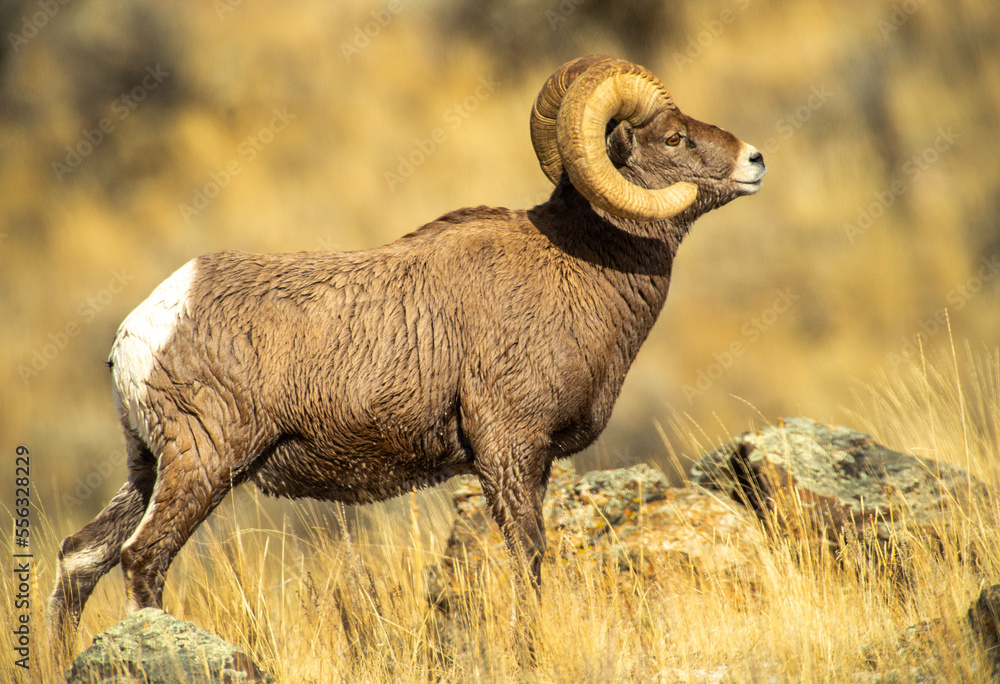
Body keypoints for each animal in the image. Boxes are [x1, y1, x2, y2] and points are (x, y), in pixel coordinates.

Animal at [49, 54, 765, 653]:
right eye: (673, 139)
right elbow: (528, 557)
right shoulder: (509, 450)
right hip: (204, 467)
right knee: (143, 559)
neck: (580, 264)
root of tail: (144, 327)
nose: (756, 160)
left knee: (81, 558)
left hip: (149, 469)